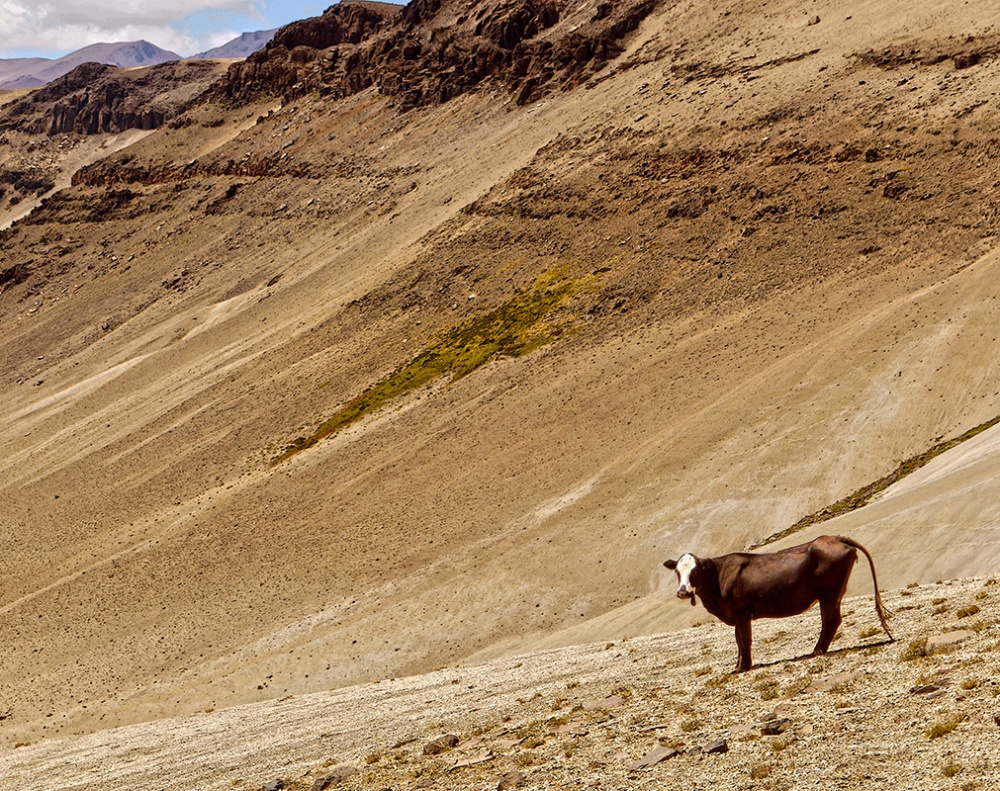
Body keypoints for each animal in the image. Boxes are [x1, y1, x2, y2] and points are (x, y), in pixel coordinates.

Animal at [664, 536, 892, 672]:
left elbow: (744, 640)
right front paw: (738, 665)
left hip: (829, 594)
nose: (683, 592)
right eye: (677, 572)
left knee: (830, 621)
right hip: (833, 594)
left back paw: (815, 651)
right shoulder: (737, 616)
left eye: (695, 571)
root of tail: (831, 537)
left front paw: (744, 667)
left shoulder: (741, 613)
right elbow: (738, 640)